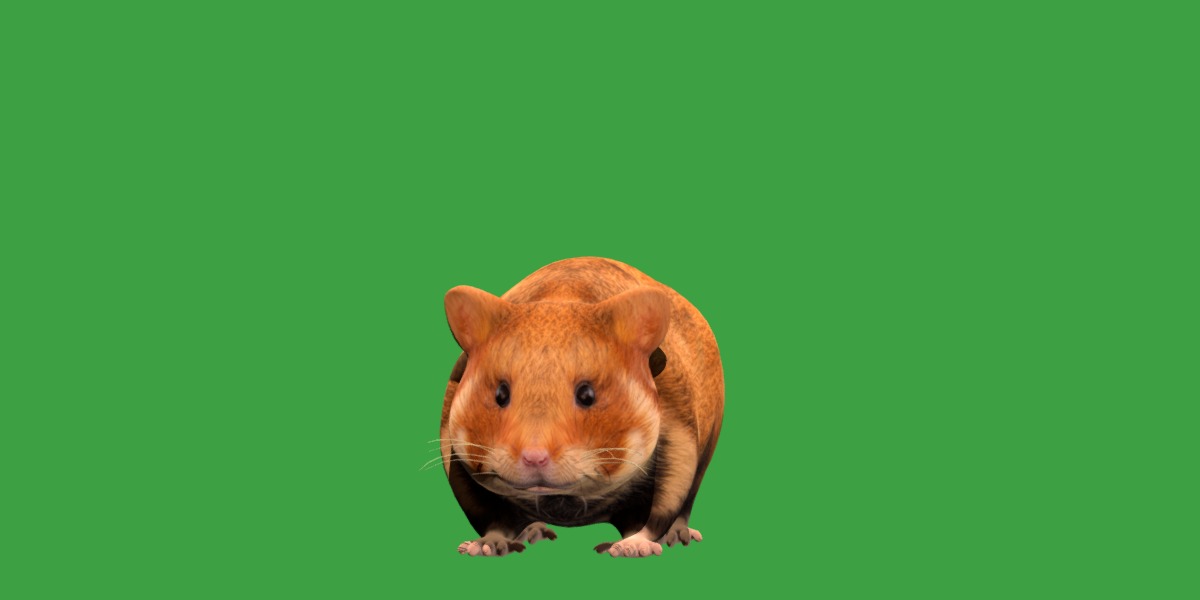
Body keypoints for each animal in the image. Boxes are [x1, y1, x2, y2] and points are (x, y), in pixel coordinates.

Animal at [437, 257, 724, 558]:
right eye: (500, 394)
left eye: (587, 395)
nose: (534, 458)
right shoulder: (452, 448)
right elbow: (490, 516)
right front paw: (485, 545)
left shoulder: (679, 436)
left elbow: (662, 505)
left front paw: (629, 548)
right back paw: (534, 530)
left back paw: (678, 535)